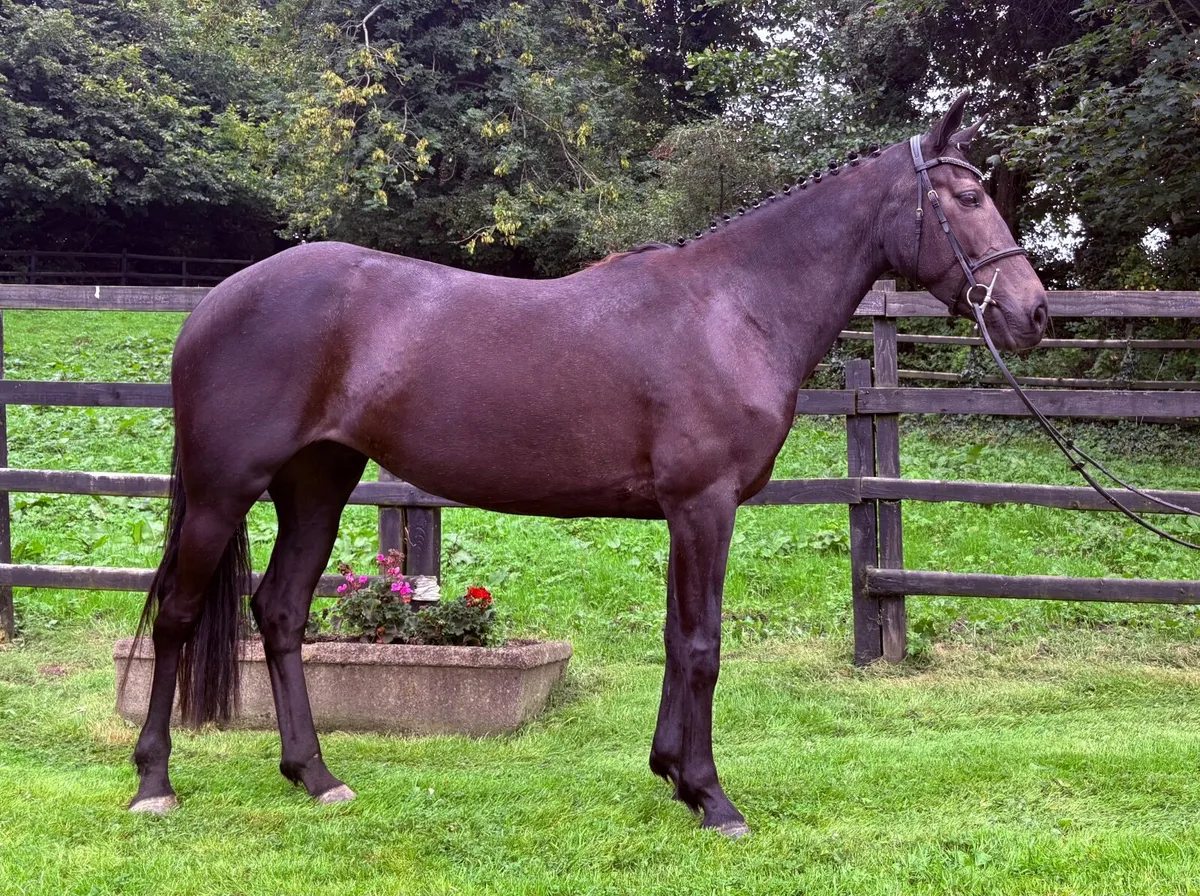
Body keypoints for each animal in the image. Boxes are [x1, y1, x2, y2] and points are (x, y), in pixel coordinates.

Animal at [126, 93, 1048, 836]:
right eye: (967, 198)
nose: (1032, 313)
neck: (733, 308)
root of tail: (214, 302)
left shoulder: (685, 512)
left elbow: (677, 638)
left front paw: (673, 776)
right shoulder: (705, 505)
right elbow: (704, 644)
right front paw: (713, 798)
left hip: (317, 483)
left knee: (280, 612)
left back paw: (315, 776)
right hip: (223, 490)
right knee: (177, 615)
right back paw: (154, 784)